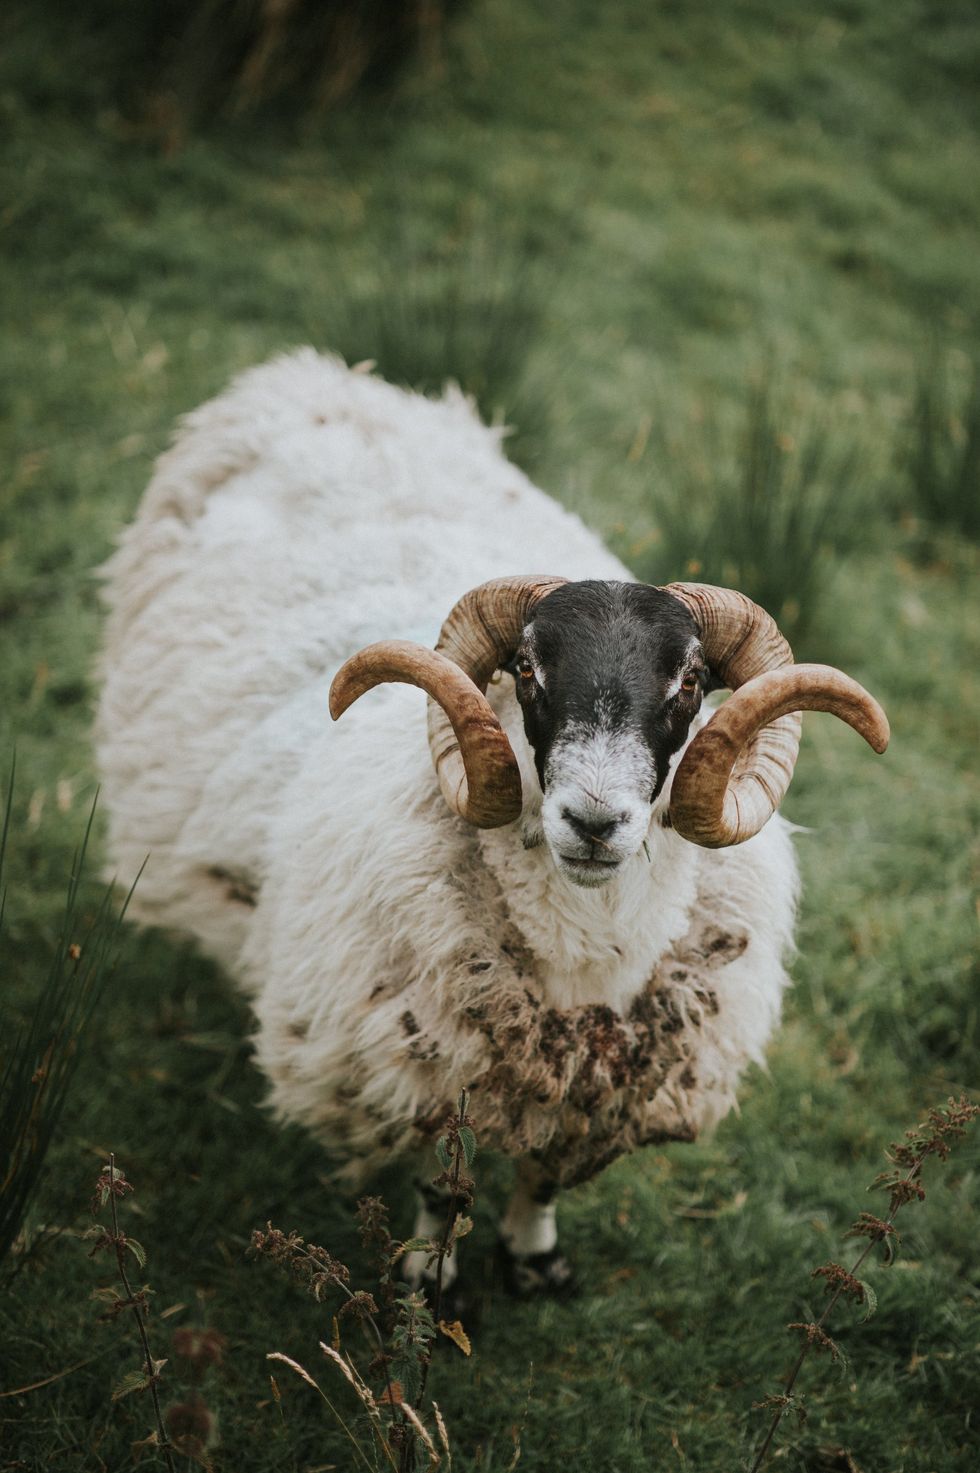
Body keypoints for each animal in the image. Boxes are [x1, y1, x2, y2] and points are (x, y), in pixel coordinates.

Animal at [96, 348, 888, 1298]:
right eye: (527, 668)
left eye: (692, 683)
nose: (595, 820)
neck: (588, 953)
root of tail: (313, 376)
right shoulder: (430, 1060)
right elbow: (445, 1177)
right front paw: (426, 1276)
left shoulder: (585, 1074)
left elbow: (545, 1169)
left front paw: (537, 1258)